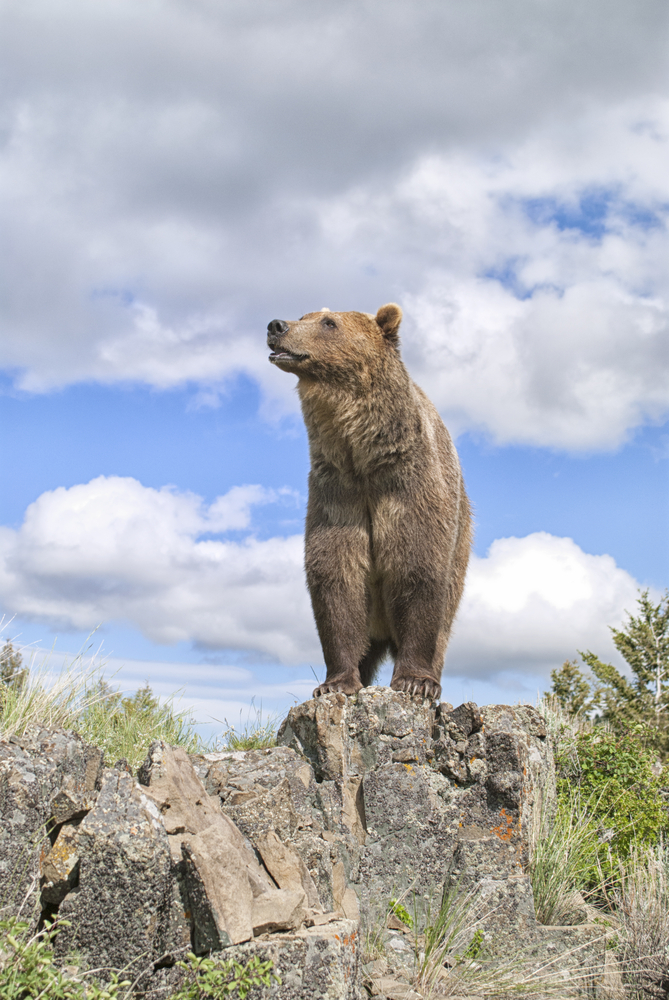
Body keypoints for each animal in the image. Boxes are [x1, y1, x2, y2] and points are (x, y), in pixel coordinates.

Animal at [267, 304, 472, 701]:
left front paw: (415, 681)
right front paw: (336, 683)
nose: (276, 326)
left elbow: (417, 567)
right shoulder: (336, 493)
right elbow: (336, 578)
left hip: (462, 543)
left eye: (329, 323)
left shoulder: (409, 485)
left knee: (446, 614)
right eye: (305, 315)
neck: (361, 455)